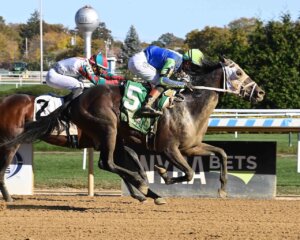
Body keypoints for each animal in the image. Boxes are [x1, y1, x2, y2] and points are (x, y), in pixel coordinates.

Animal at [0, 93, 164, 203]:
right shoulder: (105, 142)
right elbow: (118, 164)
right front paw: (142, 187)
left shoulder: (113, 143)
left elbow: (128, 159)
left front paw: (145, 190)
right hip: (11, 143)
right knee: (2, 170)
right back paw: (8, 198)